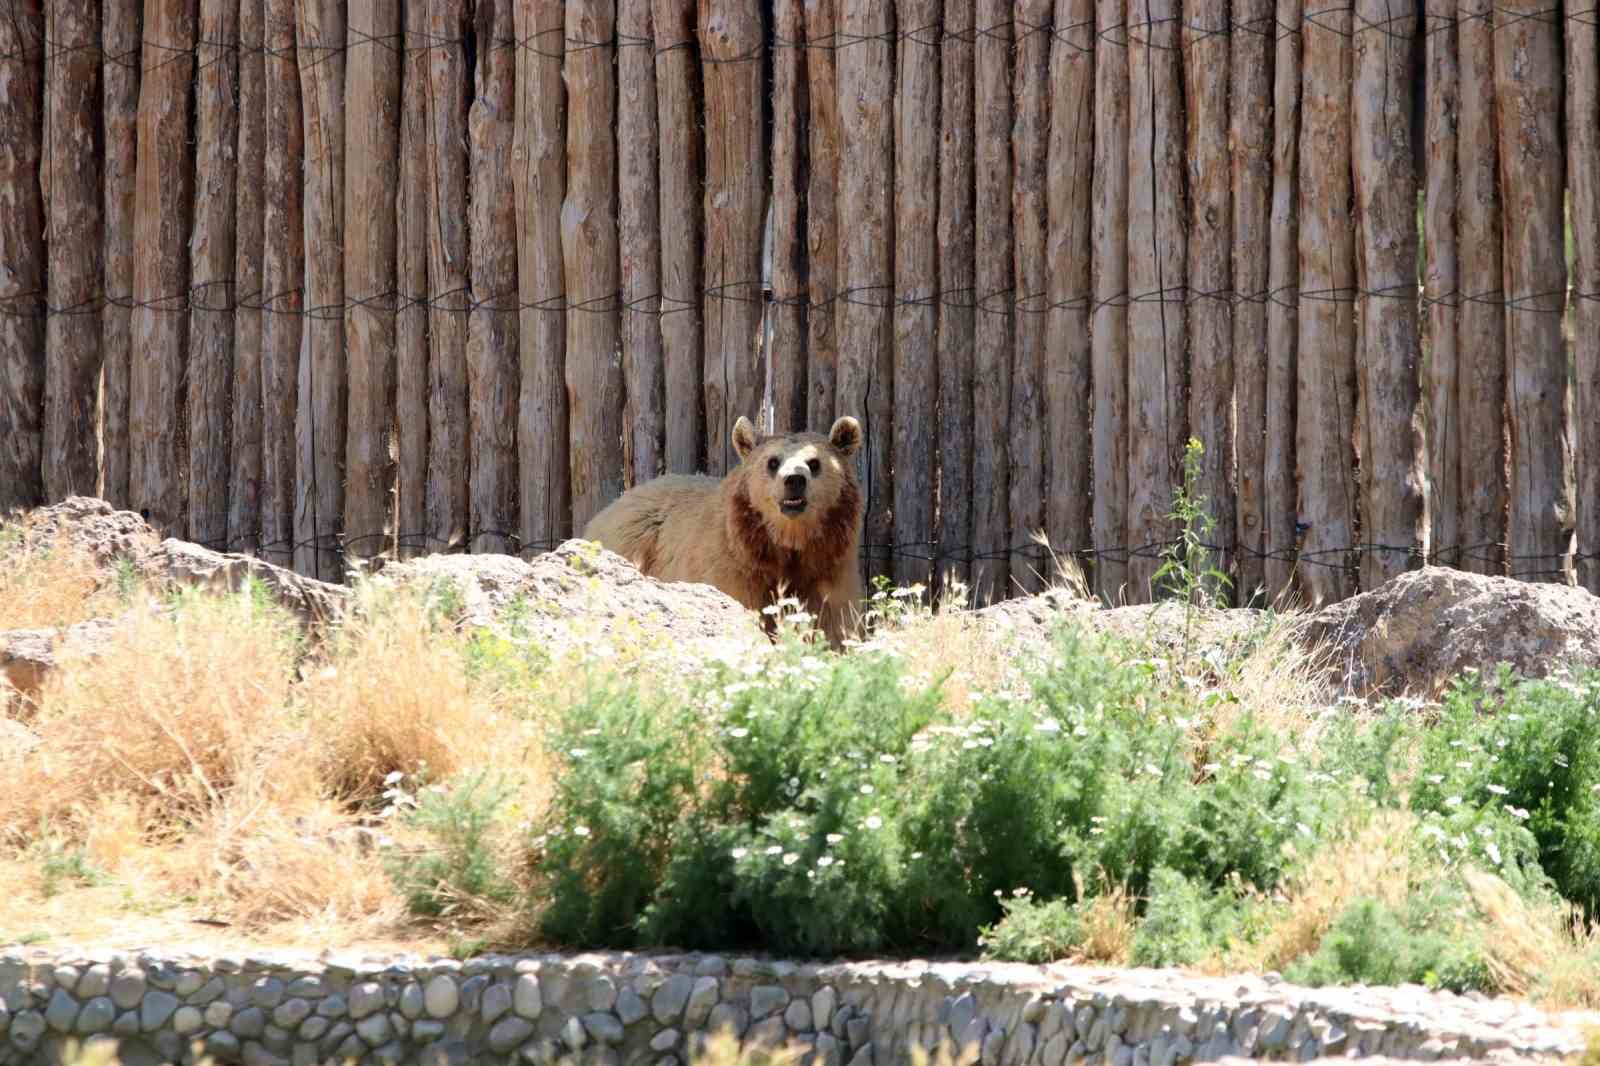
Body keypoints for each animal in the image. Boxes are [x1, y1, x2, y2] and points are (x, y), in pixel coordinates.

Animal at [582, 416, 870, 646]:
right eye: (773, 462)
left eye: (814, 462)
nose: (794, 480)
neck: (786, 544)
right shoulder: (735, 566)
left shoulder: (828, 566)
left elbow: (832, 620)